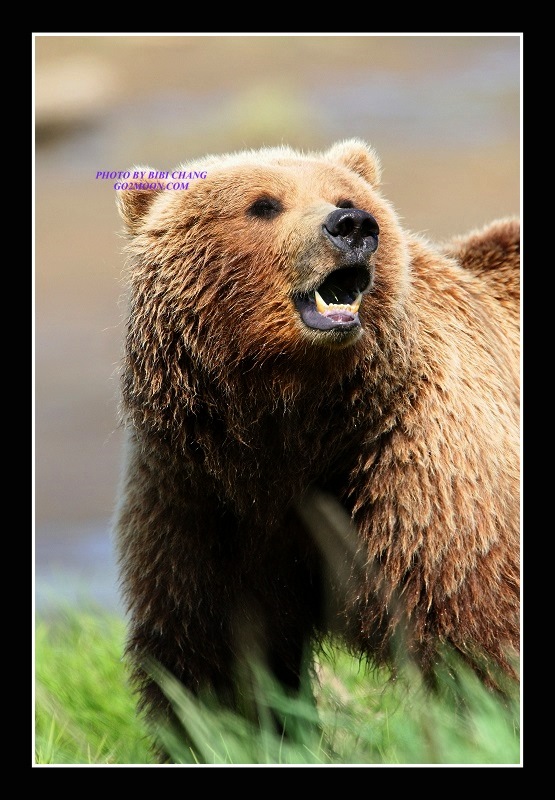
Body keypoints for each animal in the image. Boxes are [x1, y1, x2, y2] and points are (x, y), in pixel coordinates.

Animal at [113, 139, 520, 745]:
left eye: (347, 198)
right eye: (262, 204)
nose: (352, 226)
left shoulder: (416, 475)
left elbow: (472, 639)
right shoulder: (200, 500)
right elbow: (215, 660)